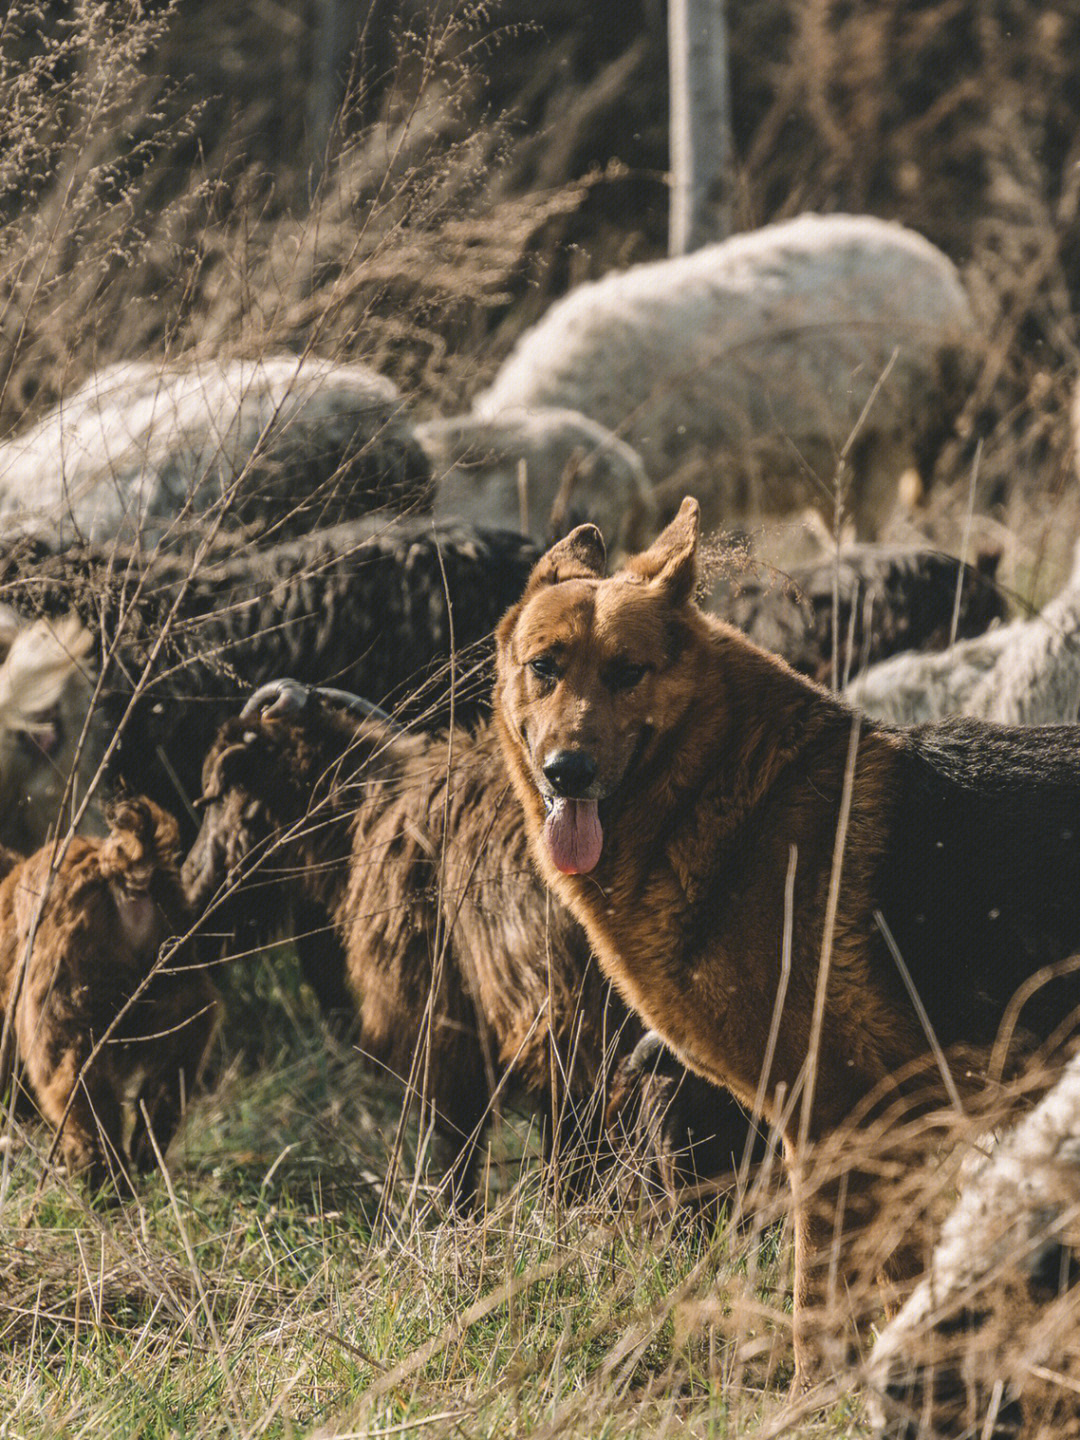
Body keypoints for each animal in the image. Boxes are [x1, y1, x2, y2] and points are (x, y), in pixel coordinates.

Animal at [0, 800, 220, 1192]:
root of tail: (120, 869)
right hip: (180, 992)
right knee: (173, 1073)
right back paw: (147, 1153)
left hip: (64, 1017)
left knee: (81, 1096)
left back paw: (103, 1183)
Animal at [495, 498, 1080, 1382]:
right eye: (546, 667)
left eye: (629, 672)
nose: (568, 772)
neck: (722, 791)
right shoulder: (880, 1143)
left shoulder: (832, 1127)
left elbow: (818, 1315)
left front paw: (812, 1399)